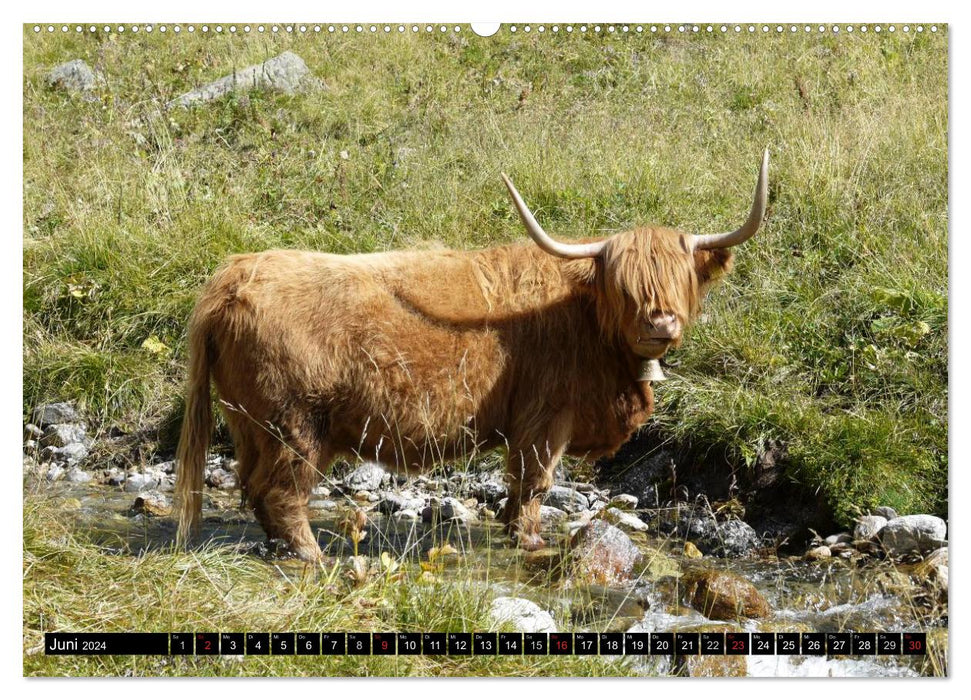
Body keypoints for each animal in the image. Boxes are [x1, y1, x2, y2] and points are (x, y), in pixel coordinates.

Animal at [173, 150, 768, 560]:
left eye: (679, 279)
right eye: (624, 286)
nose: (659, 323)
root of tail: (235, 273)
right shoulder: (545, 418)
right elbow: (533, 484)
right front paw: (528, 542)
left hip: (248, 422)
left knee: (254, 487)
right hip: (294, 425)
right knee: (282, 492)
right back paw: (314, 556)